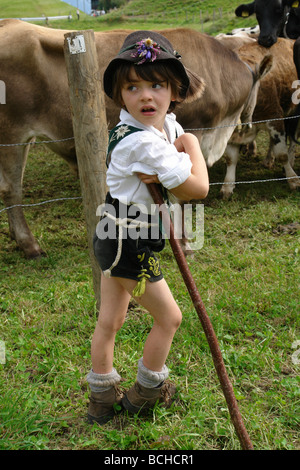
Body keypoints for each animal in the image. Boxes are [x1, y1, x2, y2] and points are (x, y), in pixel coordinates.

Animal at [0, 19, 272, 258]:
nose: (247, 128)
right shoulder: (194, 130)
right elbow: (181, 197)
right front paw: (185, 244)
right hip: (12, 133)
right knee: (12, 190)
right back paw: (30, 245)